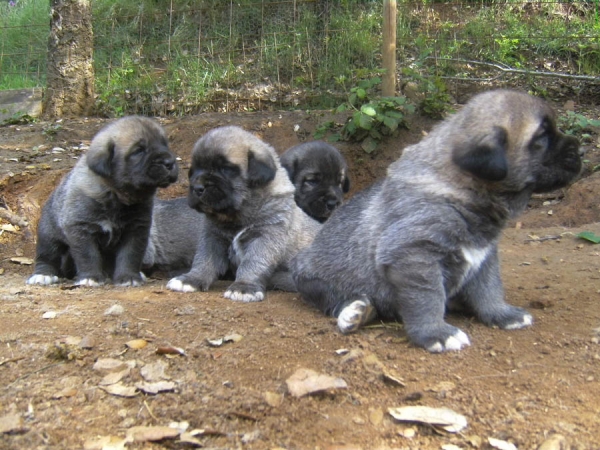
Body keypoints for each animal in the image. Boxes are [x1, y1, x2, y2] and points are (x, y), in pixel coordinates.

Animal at [27, 116, 177, 284]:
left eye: (164, 144)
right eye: (138, 150)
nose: (170, 162)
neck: (115, 195)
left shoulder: (136, 229)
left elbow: (130, 255)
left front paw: (129, 277)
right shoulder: (81, 228)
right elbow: (88, 255)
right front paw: (90, 278)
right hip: (49, 235)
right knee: (47, 256)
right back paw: (43, 275)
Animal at [164, 125, 324, 300]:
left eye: (225, 169)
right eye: (194, 170)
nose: (197, 188)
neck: (237, 215)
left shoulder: (264, 238)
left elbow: (252, 263)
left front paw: (243, 287)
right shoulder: (213, 237)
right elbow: (204, 260)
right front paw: (192, 279)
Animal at [290, 90, 580, 352]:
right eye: (542, 137)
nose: (580, 148)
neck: (460, 192)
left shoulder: (484, 256)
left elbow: (489, 288)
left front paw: (501, 314)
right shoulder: (413, 255)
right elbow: (427, 298)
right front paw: (436, 334)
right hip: (311, 279)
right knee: (334, 296)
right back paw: (355, 311)